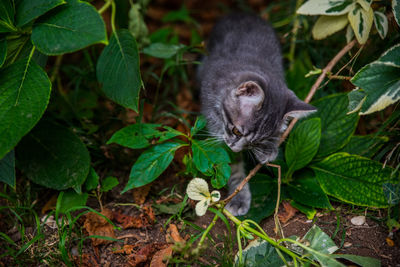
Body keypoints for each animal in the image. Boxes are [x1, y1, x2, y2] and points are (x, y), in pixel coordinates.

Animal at [197, 13, 316, 217]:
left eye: (257, 142)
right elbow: (232, 164)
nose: (237, 148)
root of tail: (240, 13)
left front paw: (269, 150)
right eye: (236, 131)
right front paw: (239, 196)